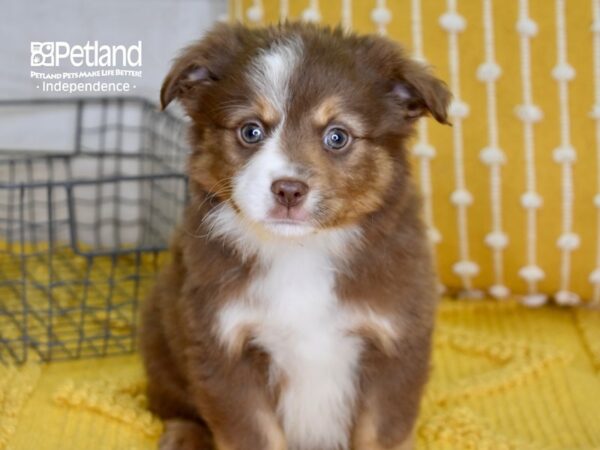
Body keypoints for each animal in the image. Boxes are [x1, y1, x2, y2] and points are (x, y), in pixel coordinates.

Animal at [142, 22, 450, 450]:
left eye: (337, 136)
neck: (302, 253)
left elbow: (379, 432)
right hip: (160, 338)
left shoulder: (394, 343)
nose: (288, 189)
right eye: (250, 131)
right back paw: (185, 435)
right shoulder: (223, 346)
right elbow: (255, 434)